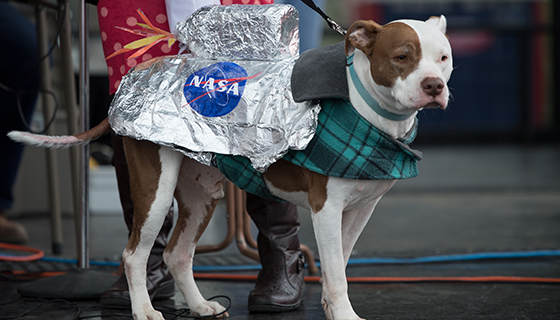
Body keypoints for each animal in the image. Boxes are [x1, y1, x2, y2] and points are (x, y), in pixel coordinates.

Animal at [10, 16, 452, 320]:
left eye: (444, 58)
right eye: (401, 57)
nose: (434, 85)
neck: (368, 112)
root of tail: (138, 74)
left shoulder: (360, 209)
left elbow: (337, 265)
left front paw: (331, 307)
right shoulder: (326, 208)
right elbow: (338, 271)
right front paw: (343, 314)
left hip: (201, 194)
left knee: (177, 253)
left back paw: (200, 305)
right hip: (155, 189)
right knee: (135, 253)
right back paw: (144, 310)